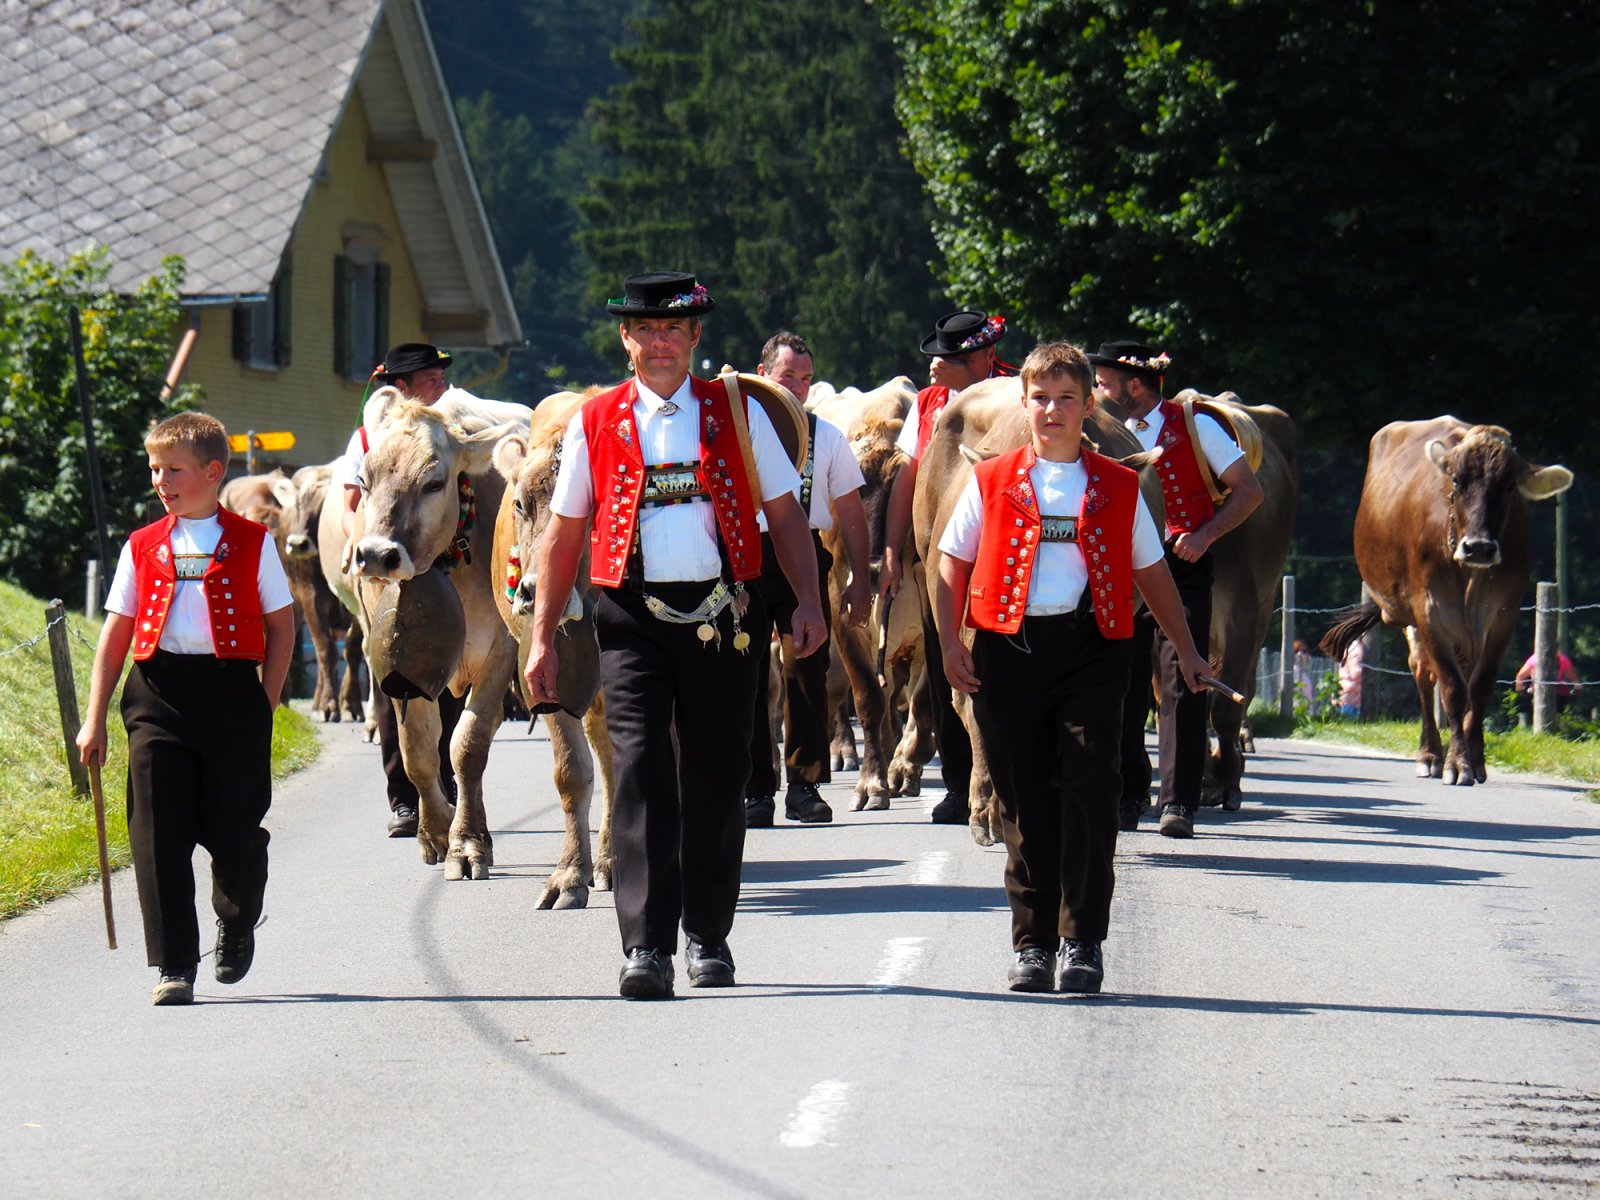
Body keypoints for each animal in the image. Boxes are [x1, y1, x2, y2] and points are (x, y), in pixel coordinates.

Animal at [1324, 419, 1574, 790]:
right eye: (1456, 480)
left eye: (1510, 485)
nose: (1479, 547)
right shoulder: (1429, 610)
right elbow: (1453, 689)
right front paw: (1457, 763)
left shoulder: (1504, 616)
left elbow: (1479, 688)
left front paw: (1476, 759)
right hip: (1412, 618)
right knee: (1423, 674)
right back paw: (1429, 755)